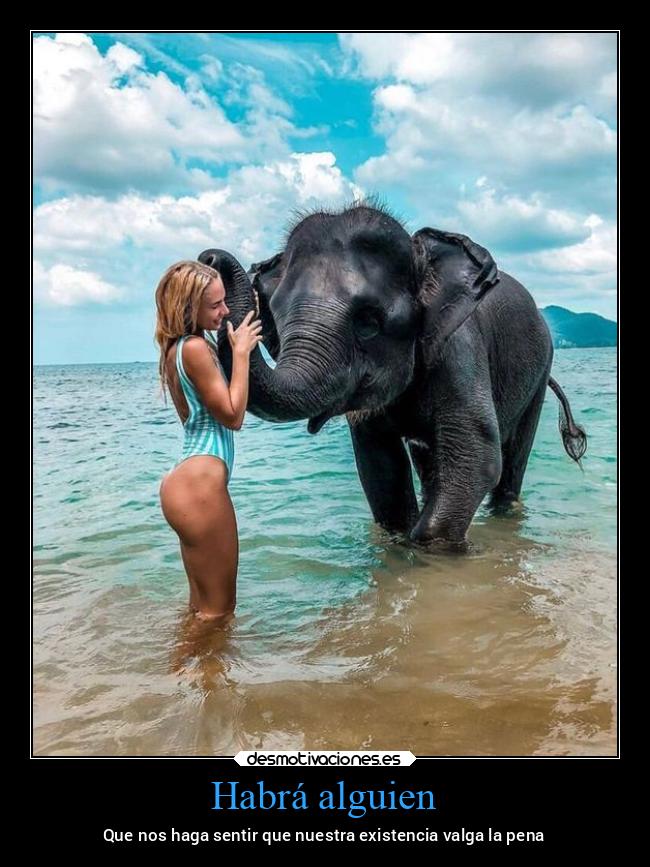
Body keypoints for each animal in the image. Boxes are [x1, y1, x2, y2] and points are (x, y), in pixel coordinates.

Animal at [198, 202, 586, 548]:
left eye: (369, 322)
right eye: (276, 313)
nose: (211, 259)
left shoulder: (458, 348)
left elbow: (477, 456)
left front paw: (430, 548)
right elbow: (380, 468)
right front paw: (398, 541)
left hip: (541, 367)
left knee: (512, 458)